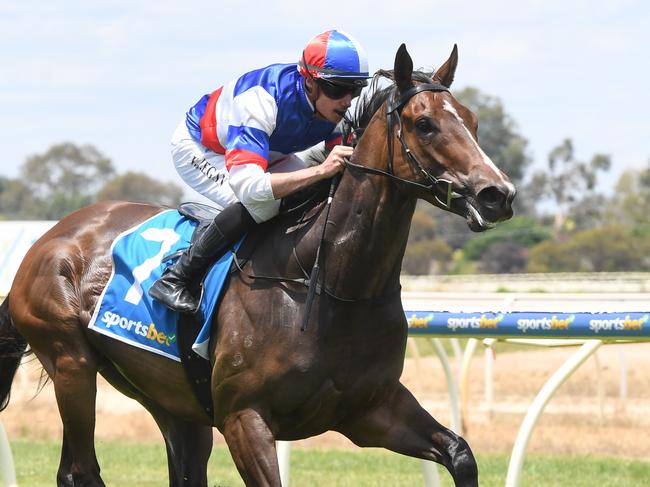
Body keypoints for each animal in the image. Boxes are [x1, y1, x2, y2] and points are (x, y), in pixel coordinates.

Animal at [1, 43, 512, 486]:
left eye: (472, 121)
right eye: (424, 123)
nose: (498, 194)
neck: (329, 283)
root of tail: (51, 237)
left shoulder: (372, 410)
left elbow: (460, 453)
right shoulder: (244, 418)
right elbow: (253, 189)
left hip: (172, 401)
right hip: (70, 361)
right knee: (80, 470)